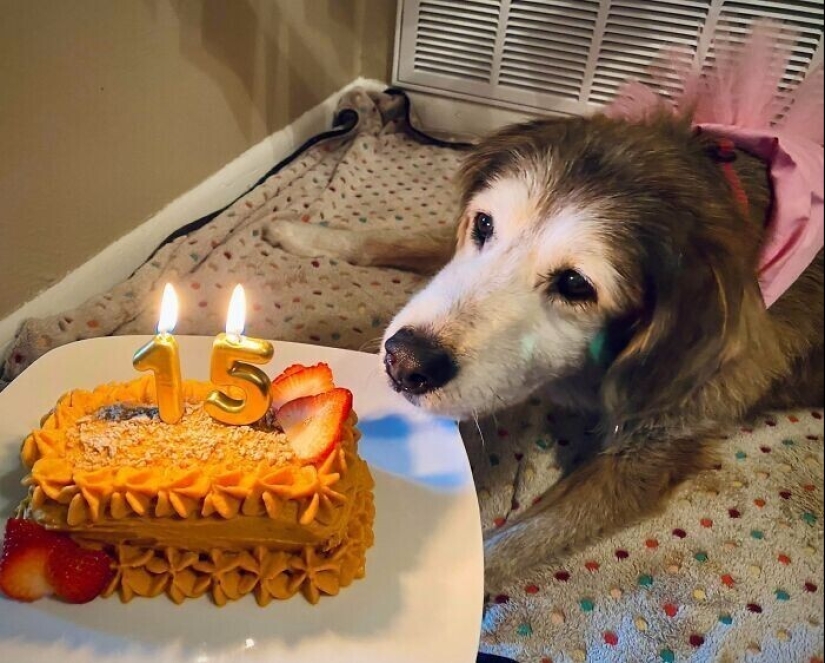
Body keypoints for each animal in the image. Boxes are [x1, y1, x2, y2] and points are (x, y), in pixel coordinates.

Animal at [268, 40, 820, 596]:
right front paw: (304, 234)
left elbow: (512, 543)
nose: (403, 362)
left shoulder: (650, 449)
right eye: (483, 224)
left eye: (576, 285)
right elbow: (403, 242)